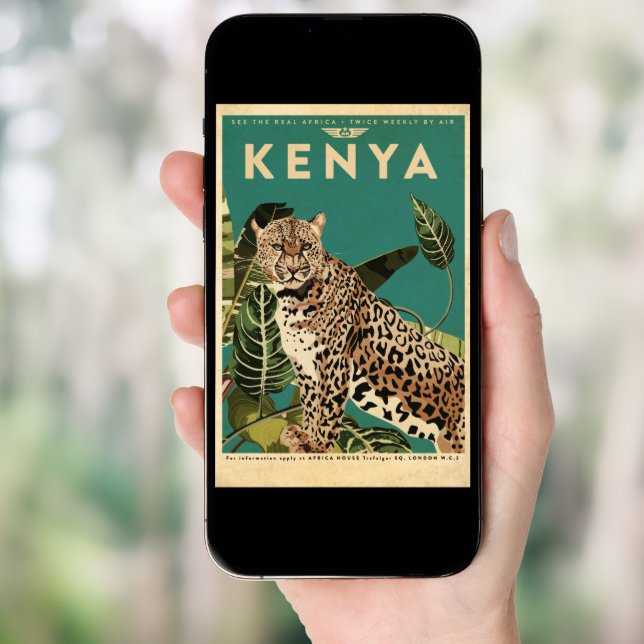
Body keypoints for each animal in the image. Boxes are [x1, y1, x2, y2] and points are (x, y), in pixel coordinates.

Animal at [251, 212, 466, 454]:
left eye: (306, 246)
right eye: (277, 246)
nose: (294, 269)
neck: (293, 299)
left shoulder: (333, 365)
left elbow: (326, 408)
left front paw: (319, 445)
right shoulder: (304, 366)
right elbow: (311, 405)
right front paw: (304, 434)